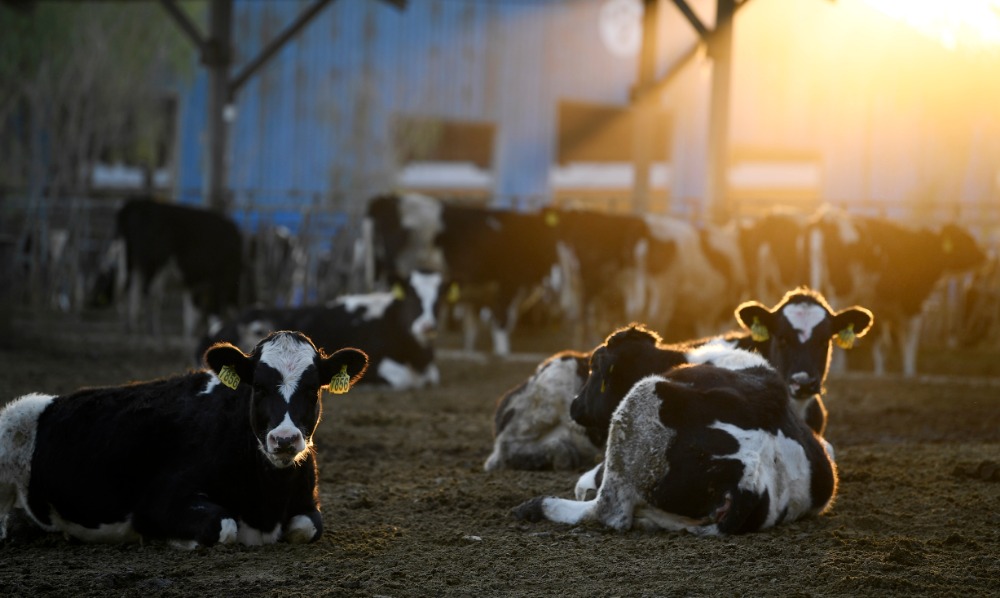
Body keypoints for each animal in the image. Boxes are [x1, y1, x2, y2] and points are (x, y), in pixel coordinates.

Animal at [0, 332, 368, 548]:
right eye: (259, 388)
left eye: (312, 390)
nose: (285, 440)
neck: (265, 504)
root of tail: (50, 400)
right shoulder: (156, 503)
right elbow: (223, 526)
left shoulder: (307, 504)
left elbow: (309, 526)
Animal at [106, 199, 244, 340]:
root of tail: (133, 205)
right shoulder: (220, 280)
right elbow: (211, 312)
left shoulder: (195, 285)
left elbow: (190, 314)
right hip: (152, 263)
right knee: (147, 292)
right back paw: (151, 330)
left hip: (131, 261)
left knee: (129, 290)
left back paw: (130, 327)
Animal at [804, 206, 984, 376]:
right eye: (965, 239)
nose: (983, 256)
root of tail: (827, 218)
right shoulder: (912, 305)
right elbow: (909, 343)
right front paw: (909, 373)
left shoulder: (880, 309)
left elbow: (882, 345)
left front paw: (880, 372)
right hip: (842, 294)